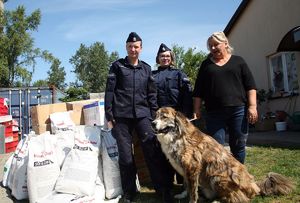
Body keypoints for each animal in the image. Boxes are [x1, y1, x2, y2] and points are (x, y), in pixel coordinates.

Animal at [154, 107, 294, 202]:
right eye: (156, 116)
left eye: (164, 117)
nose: (152, 123)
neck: (178, 136)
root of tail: (255, 187)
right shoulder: (185, 169)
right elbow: (186, 185)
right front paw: (182, 195)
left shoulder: (192, 168)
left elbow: (193, 191)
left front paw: (191, 200)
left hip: (217, 177)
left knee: (238, 198)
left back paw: (218, 201)